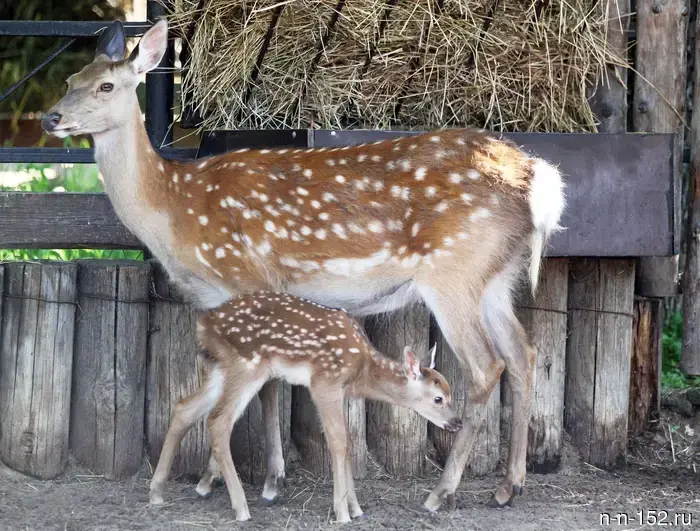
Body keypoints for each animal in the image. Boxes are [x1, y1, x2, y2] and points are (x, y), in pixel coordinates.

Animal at [148, 291, 462, 522]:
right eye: (438, 398)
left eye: (451, 391)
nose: (456, 422)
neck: (361, 370)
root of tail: (204, 324)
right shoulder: (324, 381)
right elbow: (338, 442)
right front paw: (343, 513)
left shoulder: (341, 390)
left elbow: (349, 441)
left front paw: (356, 508)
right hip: (246, 365)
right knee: (218, 420)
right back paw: (241, 509)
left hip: (220, 369)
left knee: (184, 407)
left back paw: (157, 492)